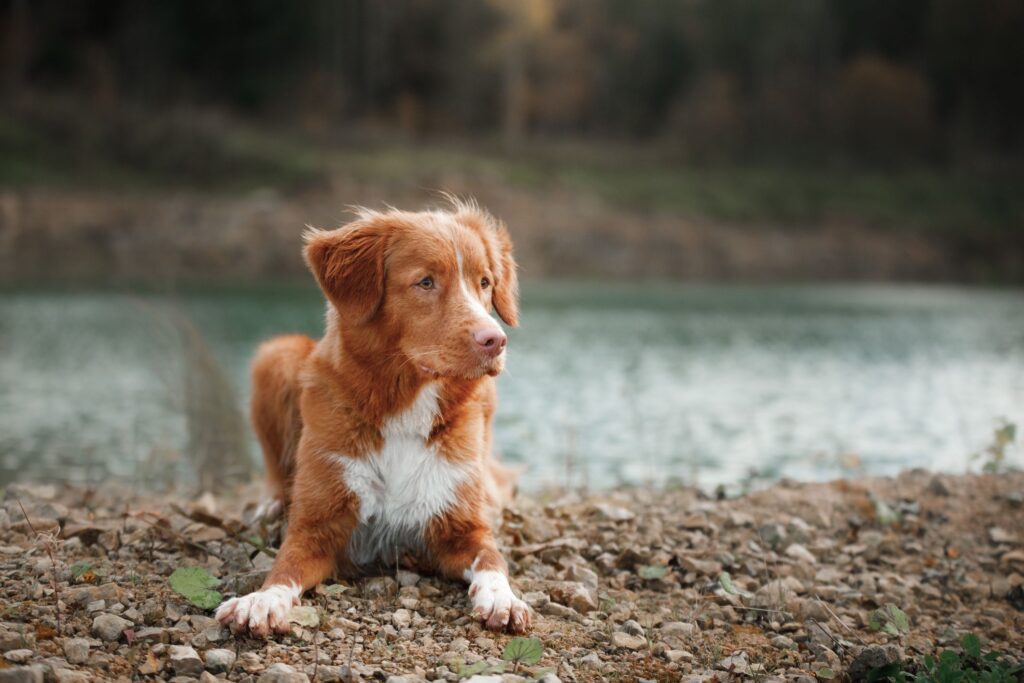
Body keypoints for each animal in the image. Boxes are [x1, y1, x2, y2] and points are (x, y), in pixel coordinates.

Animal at [210, 200, 524, 638]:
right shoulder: (316, 527)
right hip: (277, 355)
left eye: (485, 282)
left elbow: (493, 560)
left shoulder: (464, 528)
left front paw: (502, 597)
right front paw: (262, 600)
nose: (496, 340)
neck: (404, 410)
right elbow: (284, 567)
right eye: (425, 282)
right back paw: (271, 505)